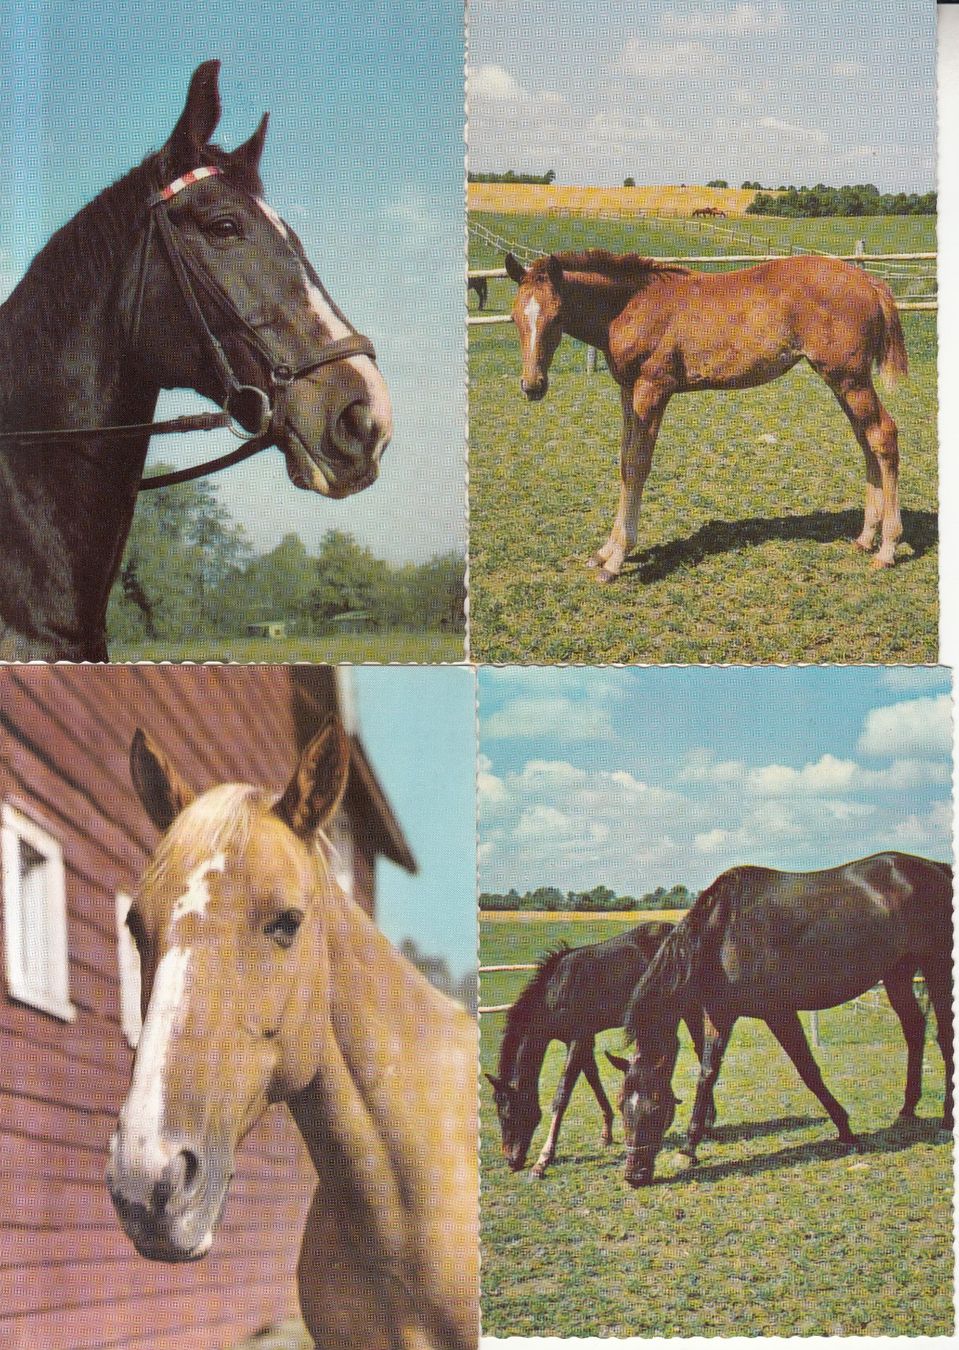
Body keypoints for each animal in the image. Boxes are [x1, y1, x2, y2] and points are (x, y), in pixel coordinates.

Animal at [485, 922, 712, 1178]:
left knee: (701, 1049)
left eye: (507, 1115)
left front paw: (542, 1161)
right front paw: (606, 1134)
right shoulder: (582, 1040)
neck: (556, 992)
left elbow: (562, 1095)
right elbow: (593, 1078)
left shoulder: (579, 1038)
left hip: (690, 1008)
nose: (511, 1160)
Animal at [504, 249, 908, 581]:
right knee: (866, 440)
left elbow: (637, 466)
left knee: (884, 435)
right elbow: (623, 462)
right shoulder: (627, 391)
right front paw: (604, 551)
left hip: (849, 378)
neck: (632, 305)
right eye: (514, 317)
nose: (532, 385)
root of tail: (868, 281)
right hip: (841, 380)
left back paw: (887, 549)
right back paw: (865, 537)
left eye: (557, 316)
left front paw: (616, 559)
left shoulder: (653, 390)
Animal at [614, 852, 953, 1187]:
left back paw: (947, 1120)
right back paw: (907, 1110)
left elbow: (808, 1070)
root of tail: (936, 869)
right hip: (897, 973)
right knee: (914, 1029)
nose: (634, 1175)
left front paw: (845, 1129)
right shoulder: (720, 1015)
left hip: (937, 965)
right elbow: (707, 1073)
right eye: (621, 1104)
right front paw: (688, 1149)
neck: (723, 933)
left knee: (945, 1037)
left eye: (656, 1107)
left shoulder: (778, 1012)